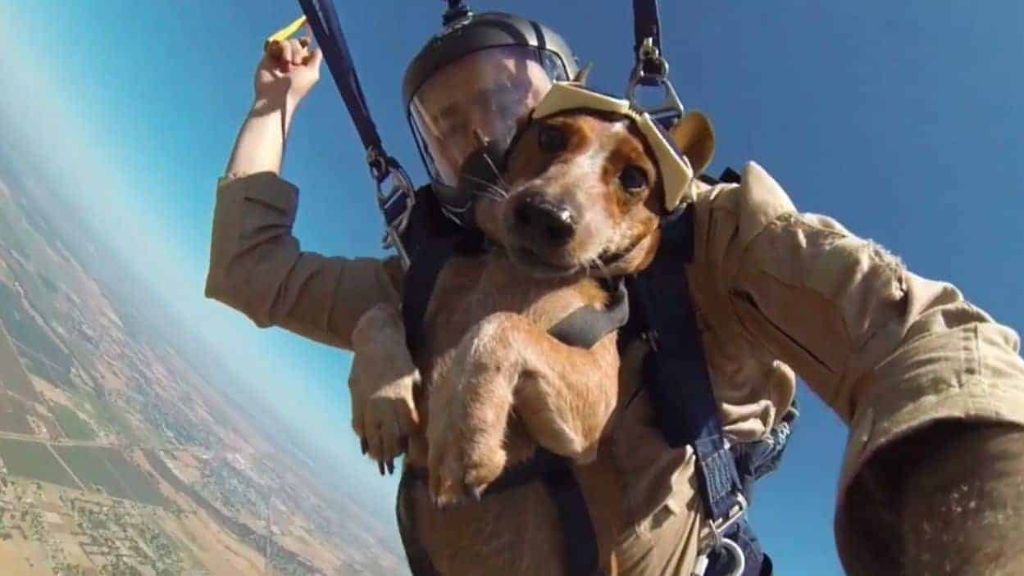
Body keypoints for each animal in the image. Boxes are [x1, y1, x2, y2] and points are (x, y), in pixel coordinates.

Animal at [348, 81, 716, 573]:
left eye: (635, 179)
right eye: (551, 137)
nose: (546, 214)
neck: (511, 269)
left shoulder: (595, 403)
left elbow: (498, 326)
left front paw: (466, 434)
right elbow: (375, 313)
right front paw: (381, 401)